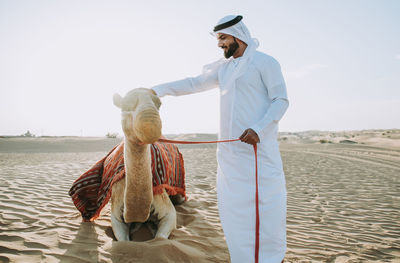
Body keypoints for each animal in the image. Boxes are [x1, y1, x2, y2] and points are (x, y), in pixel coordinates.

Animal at [111, 88, 185, 241]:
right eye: (125, 104)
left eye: (159, 103)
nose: (150, 128)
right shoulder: (115, 214)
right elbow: (123, 240)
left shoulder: (168, 211)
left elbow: (160, 238)